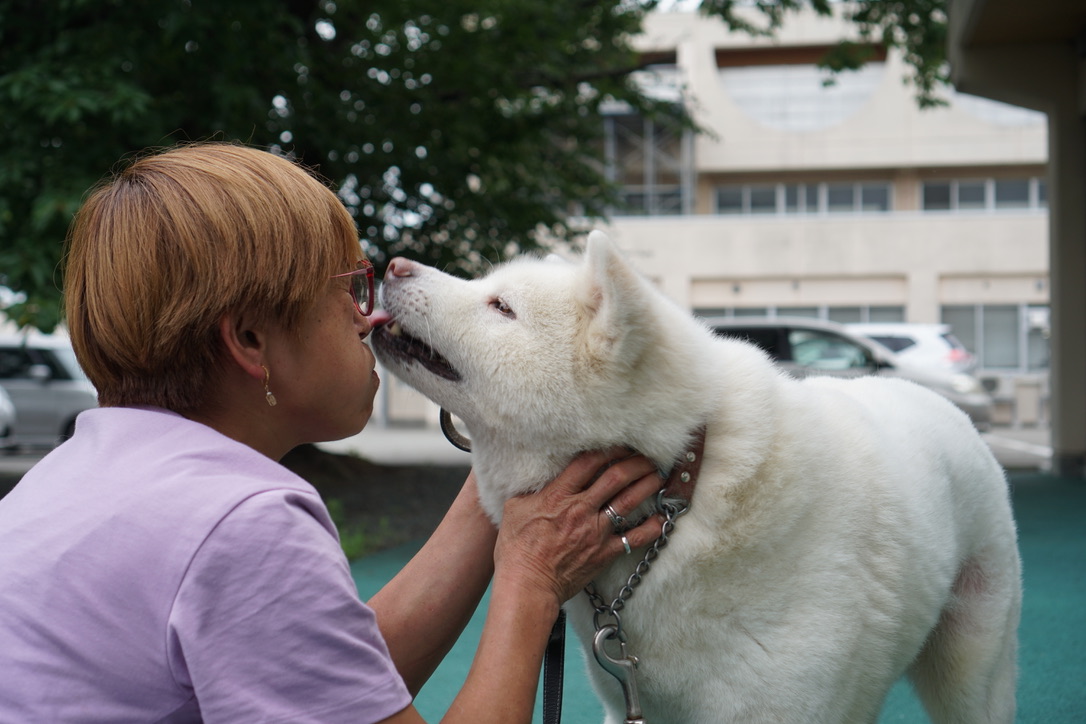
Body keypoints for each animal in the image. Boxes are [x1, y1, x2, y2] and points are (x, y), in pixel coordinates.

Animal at [369, 235, 1020, 720]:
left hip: (970, 676)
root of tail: (945, 404)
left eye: (500, 306)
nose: (392, 263)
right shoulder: (632, 705)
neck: (681, 489)